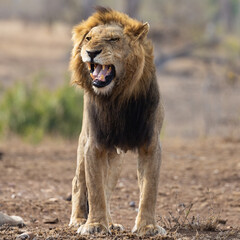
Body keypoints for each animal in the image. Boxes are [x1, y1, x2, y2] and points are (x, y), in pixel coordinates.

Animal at [67, 7, 165, 236]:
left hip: (116, 159)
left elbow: (149, 188)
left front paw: (148, 226)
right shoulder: (94, 144)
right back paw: (78, 220)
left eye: (113, 39)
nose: (91, 52)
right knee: (78, 182)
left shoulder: (150, 144)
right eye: (88, 38)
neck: (117, 98)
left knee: (108, 188)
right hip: (84, 143)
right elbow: (95, 189)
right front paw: (94, 225)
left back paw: (111, 222)